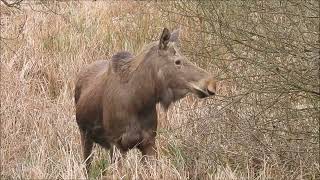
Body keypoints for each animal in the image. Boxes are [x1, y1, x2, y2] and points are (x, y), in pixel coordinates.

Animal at [74, 27, 216, 171]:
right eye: (177, 61)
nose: (211, 83)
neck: (139, 101)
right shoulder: (116, 143)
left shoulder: (149, 141)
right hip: (84, 135)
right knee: (86, 166)